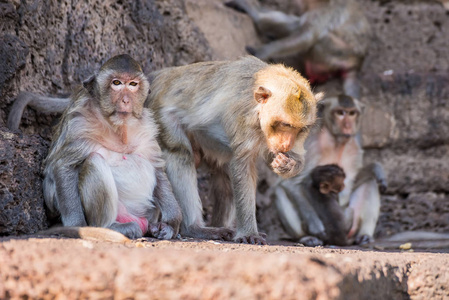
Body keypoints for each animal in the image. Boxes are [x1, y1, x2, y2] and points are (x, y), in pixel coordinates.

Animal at [35, 54, 182, 239]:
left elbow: (157, 168)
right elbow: (64, 167)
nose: (126, 100)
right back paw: (111, 227)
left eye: (133, 84)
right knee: (94, 161)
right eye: (116, 83)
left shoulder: (147, 127)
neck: (117, 127)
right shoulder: (79, 123)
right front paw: (77, 226)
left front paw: (171, 225)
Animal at [224, 0, 372, 99]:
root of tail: (357, 64)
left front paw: (262, 52)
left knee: (320, 39)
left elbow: (306, 37)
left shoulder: (328, 10)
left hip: (332, 53)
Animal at [272, 95, 384, 245]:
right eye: (340, 113)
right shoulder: (312, 145)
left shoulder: (354, 147)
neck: (336, 142)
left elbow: (351, 183)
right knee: (280, 190)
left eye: (352, 113)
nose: (348, 126)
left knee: (370, 182)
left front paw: (376, 168)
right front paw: (315, 225)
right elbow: (291, 183)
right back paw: (306, 237)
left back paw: (364, 235)